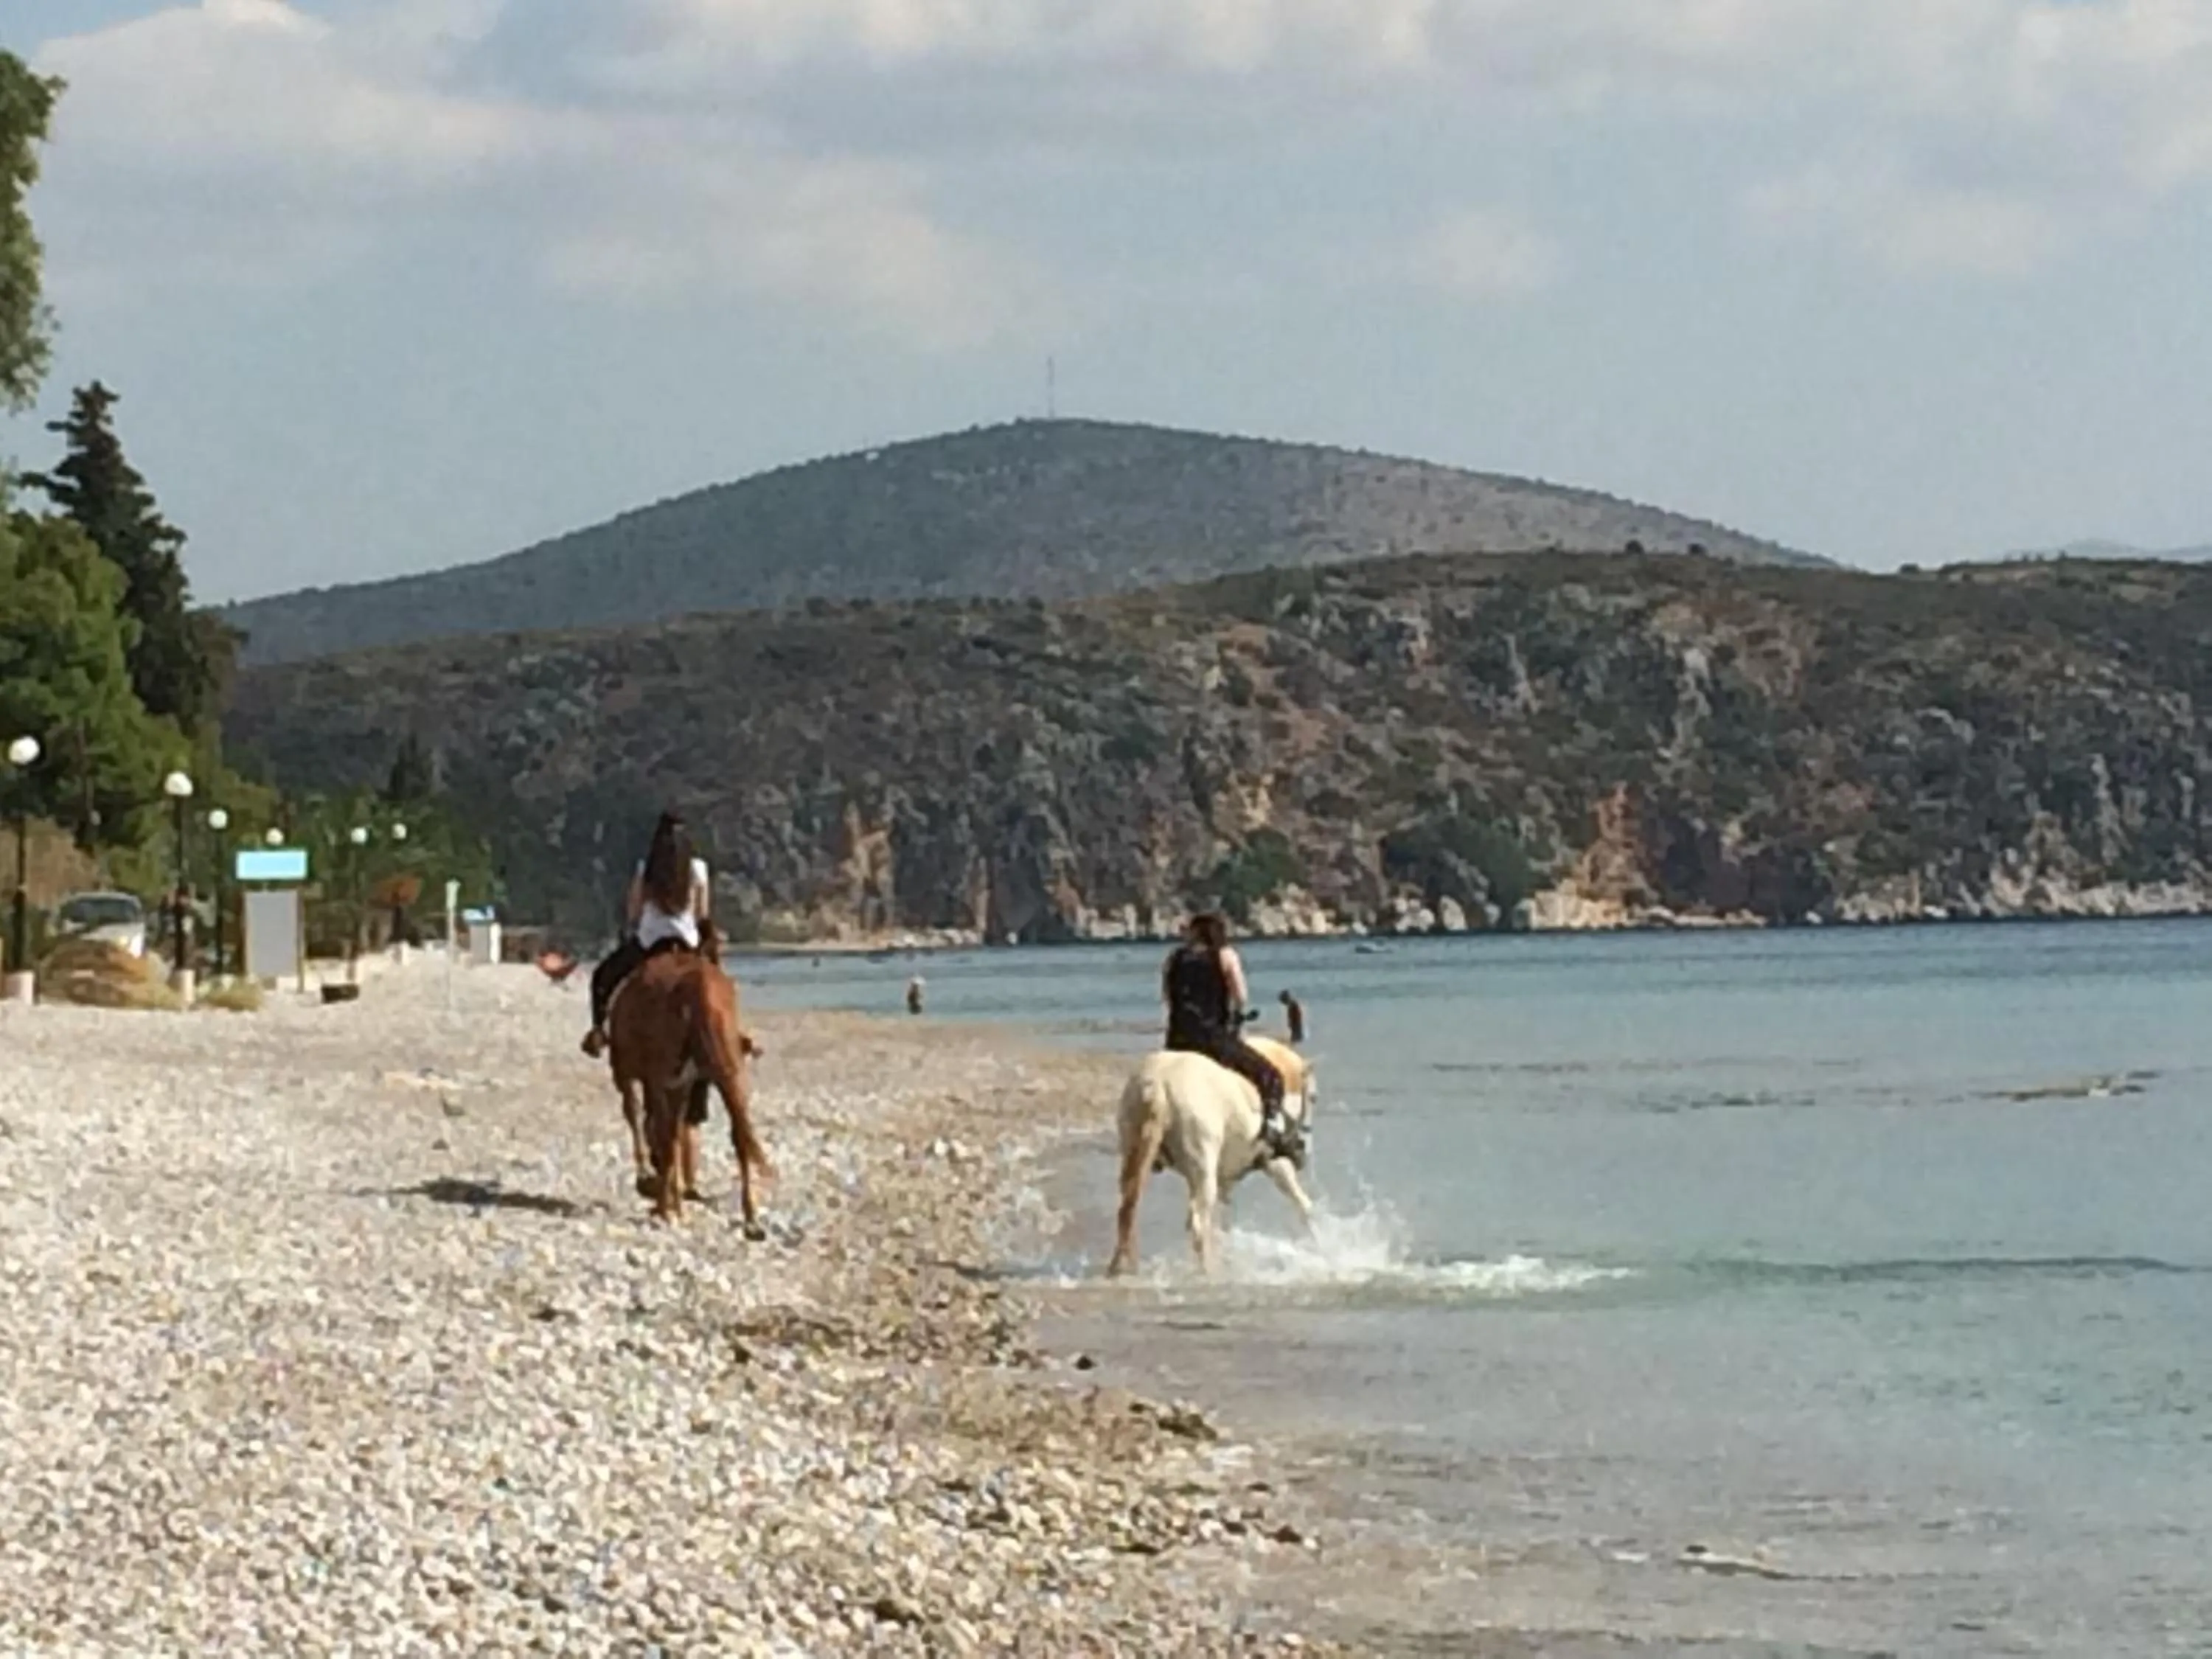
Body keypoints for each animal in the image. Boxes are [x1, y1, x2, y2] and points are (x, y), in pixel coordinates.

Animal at [604, 942, 772, 1233]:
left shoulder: (634, 1076)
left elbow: (642, 1120)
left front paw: (652, 1186)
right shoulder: (680, 1084)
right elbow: (671, 1134)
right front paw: (673, 1201)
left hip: (656, 1075)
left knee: (660, 1130)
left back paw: (664, 1205)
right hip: (730, 1072)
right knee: (740, 1133)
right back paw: (750, 1218)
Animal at [1107, 1034, 1318, 1277]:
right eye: (1314, 1098)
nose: (1303, 1151)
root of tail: (1158, 1084)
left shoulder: (1225, 1178)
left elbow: (1222, 1223)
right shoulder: (1275, 1163)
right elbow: (1304, 1205)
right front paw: (1319, 1244)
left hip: (1136, 1153)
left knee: (1127, 1211)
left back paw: (1118, 1268)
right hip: (1203, 1170)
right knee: (1197, 1224)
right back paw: (1210, 1272)